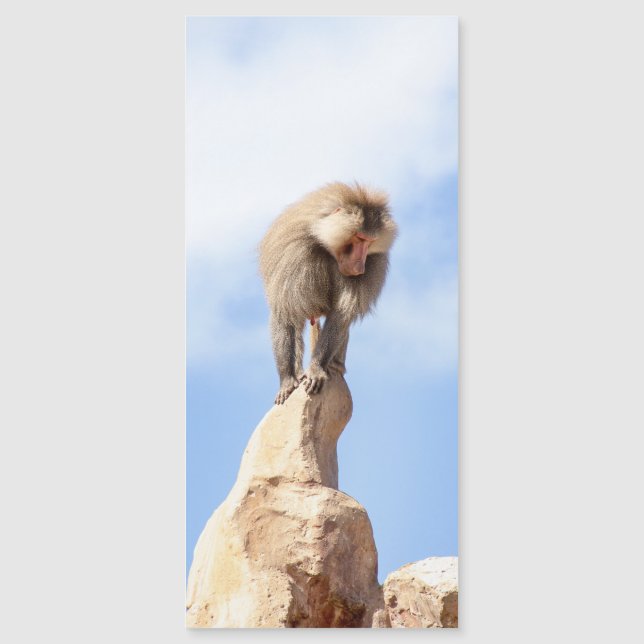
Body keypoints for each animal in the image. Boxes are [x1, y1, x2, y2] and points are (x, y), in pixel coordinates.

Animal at [259, 182, 397, 404]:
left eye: (370, 242)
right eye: (359, 238)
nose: (360, 267)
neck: (324, 243)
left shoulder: (373, 264)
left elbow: (341, 316)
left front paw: (316, 369)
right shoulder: (293, 255)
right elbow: (285, 312)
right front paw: (287, 381)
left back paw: (334, 366)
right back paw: (298, 373)